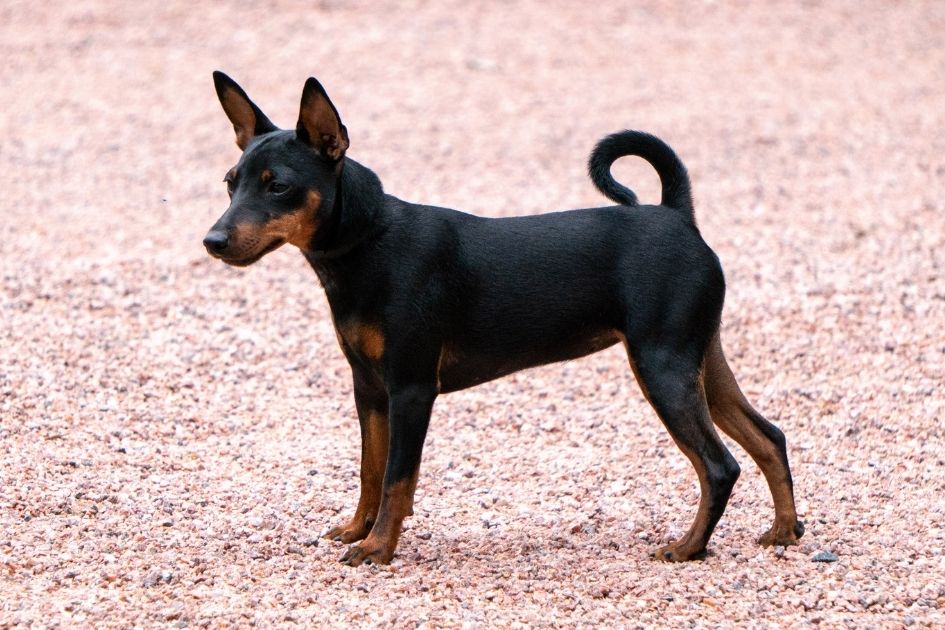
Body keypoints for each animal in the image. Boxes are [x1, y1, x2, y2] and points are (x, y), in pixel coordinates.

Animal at [206, 70, 804, 568]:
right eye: (231, 182)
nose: (213, 241)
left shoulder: (412, 389)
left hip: (662, 366)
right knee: (769, 437)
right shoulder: (369, 388)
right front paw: (359, 530)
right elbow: (370, 470)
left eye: (278, 185)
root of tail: (677, 215)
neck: (370, 242)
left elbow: (398, 478)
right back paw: (784, 531)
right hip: (699, 361)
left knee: (719, 465)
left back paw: (689, 548)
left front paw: (378, 548)